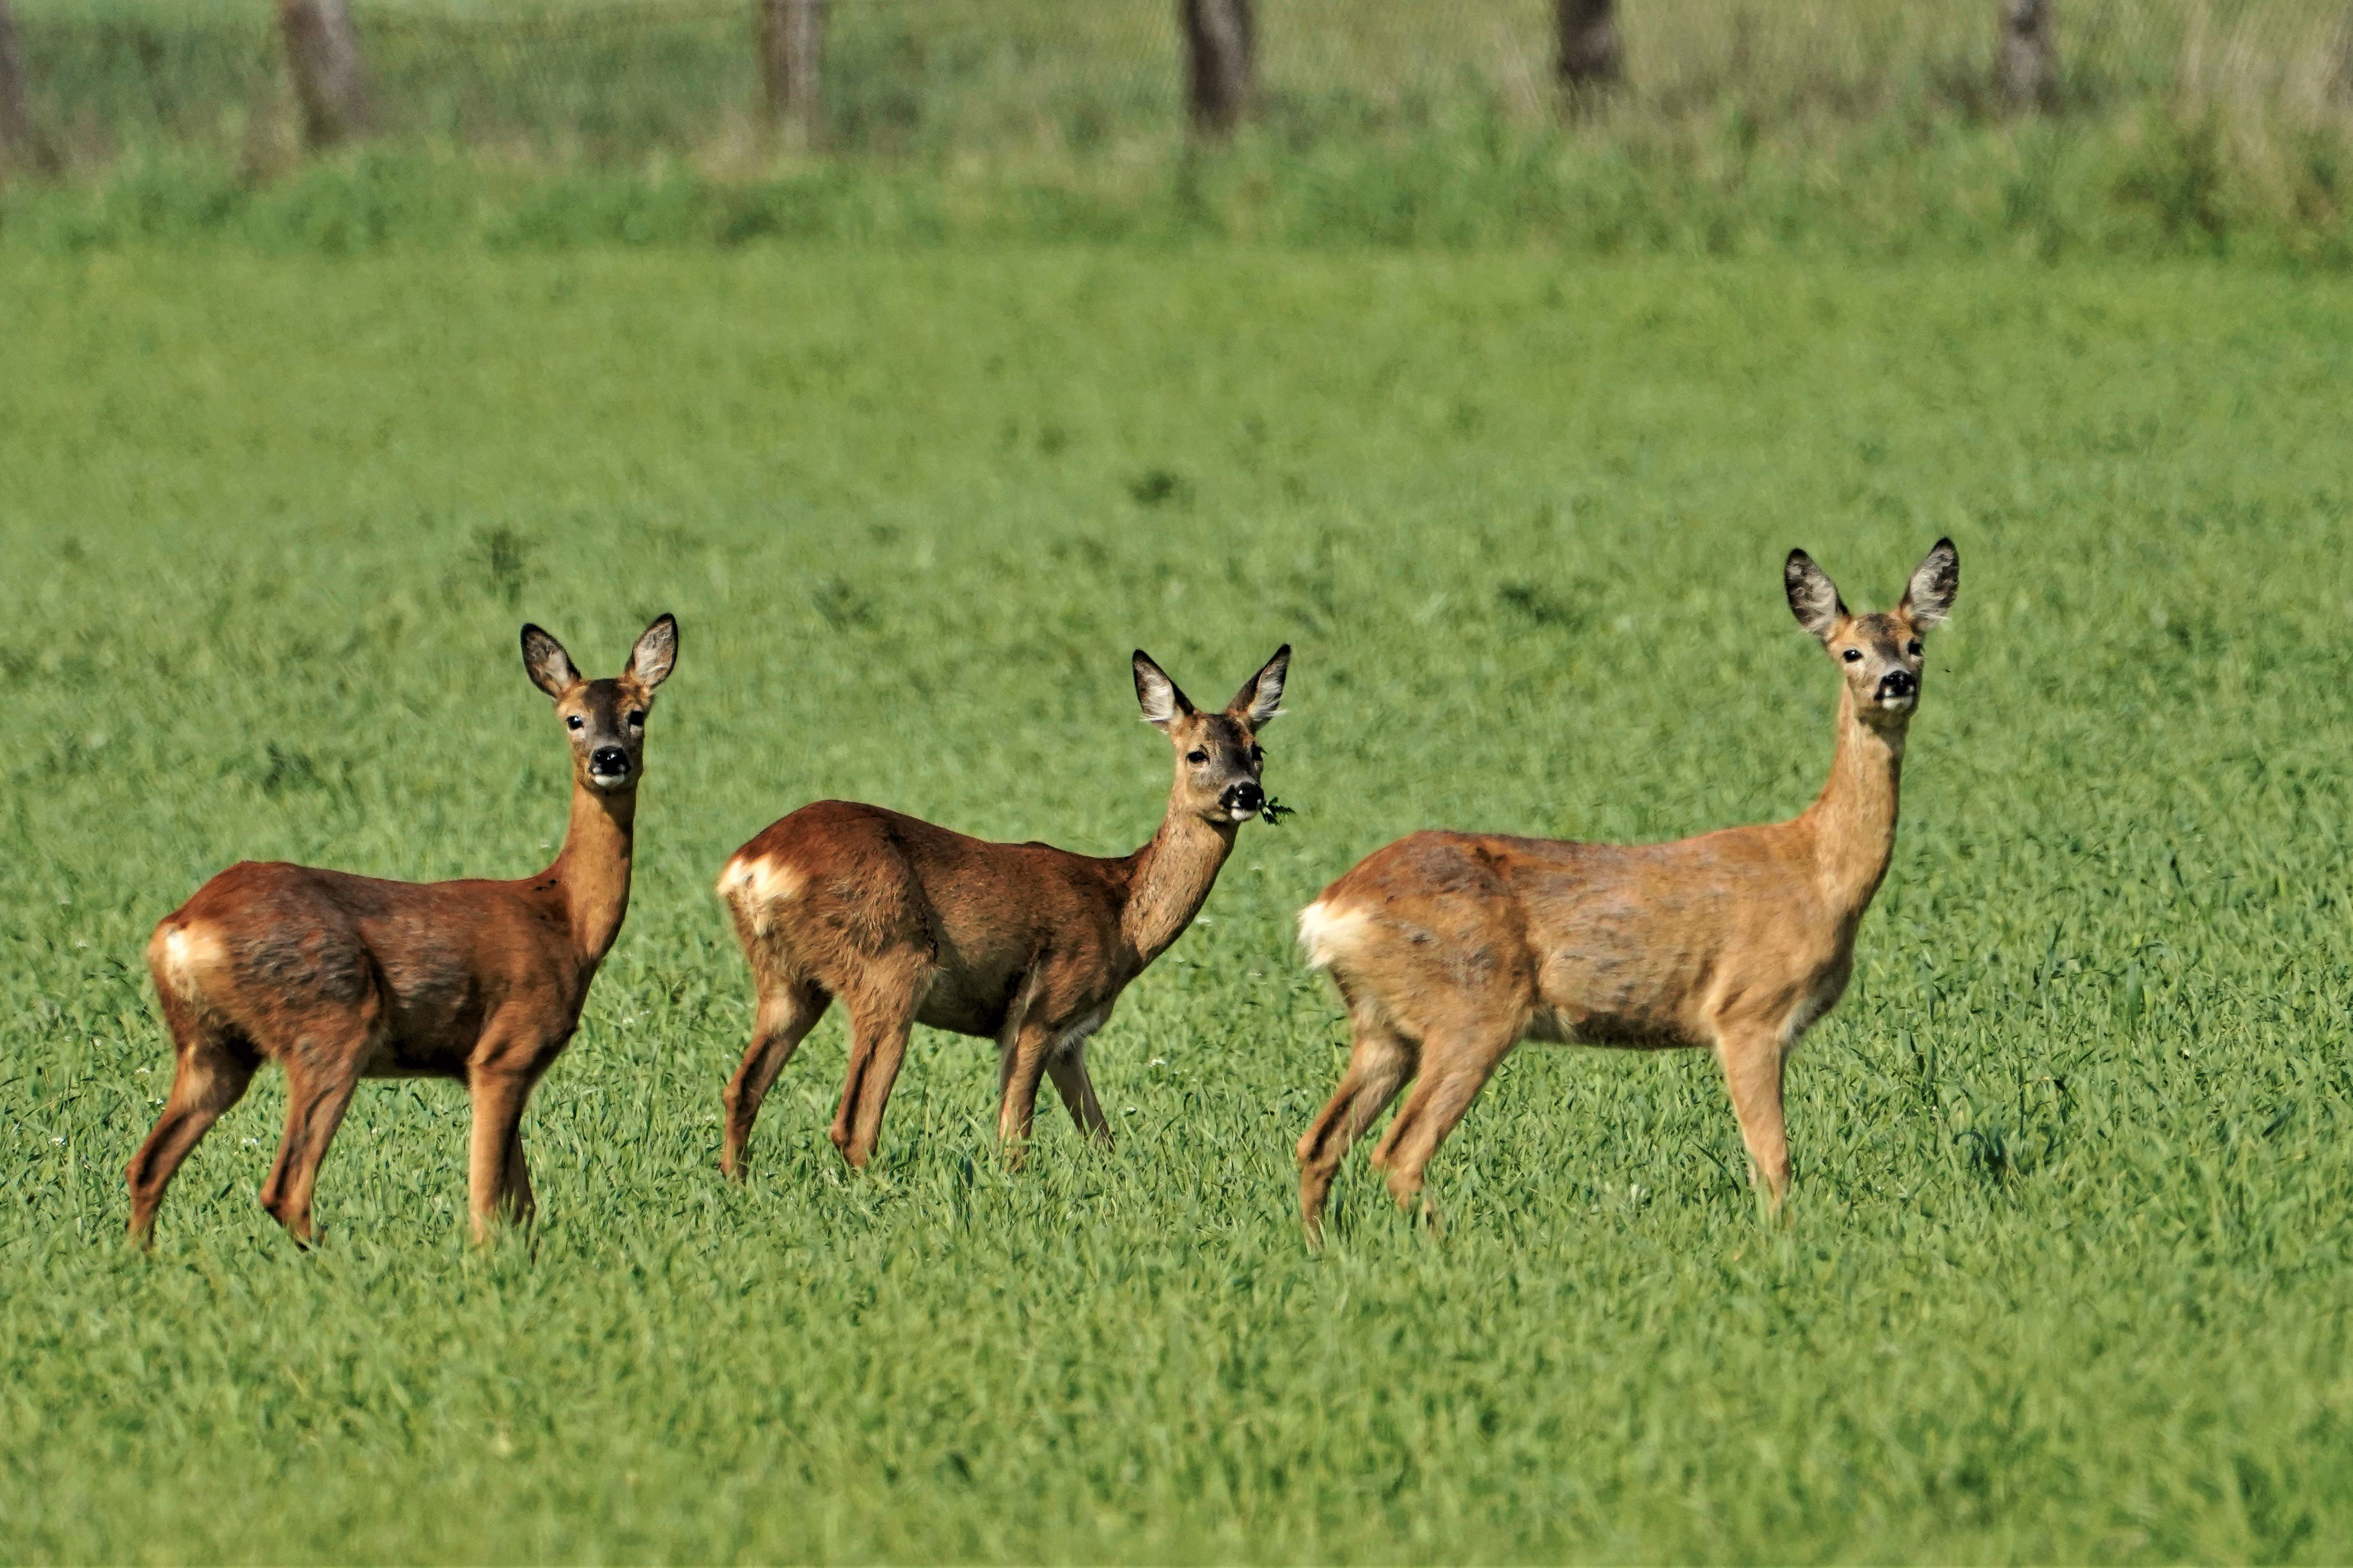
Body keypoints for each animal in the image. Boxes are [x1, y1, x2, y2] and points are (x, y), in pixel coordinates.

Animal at [126, 615, 679, 1247]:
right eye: (574, 718)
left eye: (638, 714)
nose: (610, 758)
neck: (566, 920)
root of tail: (180, 927)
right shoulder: (504, 1051)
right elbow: (486, 1203)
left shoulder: (489, 1066)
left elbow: (523, 1205)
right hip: (330, 1026)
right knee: (286, 1186)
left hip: (212, 1046)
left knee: (147, 1164)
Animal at [716, 644, 1291, 1177]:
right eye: (1198, 754)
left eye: (1257, 749)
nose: (1246, 792)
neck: (1123, 916)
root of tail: (752, 865)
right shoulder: (1040, 1011)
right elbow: (1015, 1140)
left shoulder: (1070, 1041)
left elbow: (1101, 1138)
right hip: (891, 965)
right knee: (853, 1123)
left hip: (788, 978)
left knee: (742, 1089)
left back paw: (737, 1185)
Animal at [1294, 541, 1959, 1238]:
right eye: (1850, 652)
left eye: (1915, 643)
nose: (1896, 681)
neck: (1820, 873)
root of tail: (1330, 908)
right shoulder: (1748, 1013)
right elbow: (1772, 1158)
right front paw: (1780, 1243)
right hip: (1471, 1011)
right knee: (1398, 1152)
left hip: (1384, 1025)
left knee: (1319, 1143)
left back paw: (1322, 1248)